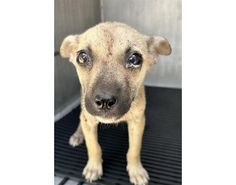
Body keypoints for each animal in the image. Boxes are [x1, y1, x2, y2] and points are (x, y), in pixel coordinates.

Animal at [60, 22, 171, 185]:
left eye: (134, 59)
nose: (104, 101)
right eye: (82, 57)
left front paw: (136, 170)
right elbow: (93, 147)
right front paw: (93, 167)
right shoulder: (89, 119)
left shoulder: (136, 122)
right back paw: (78, 135)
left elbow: (134, 150)